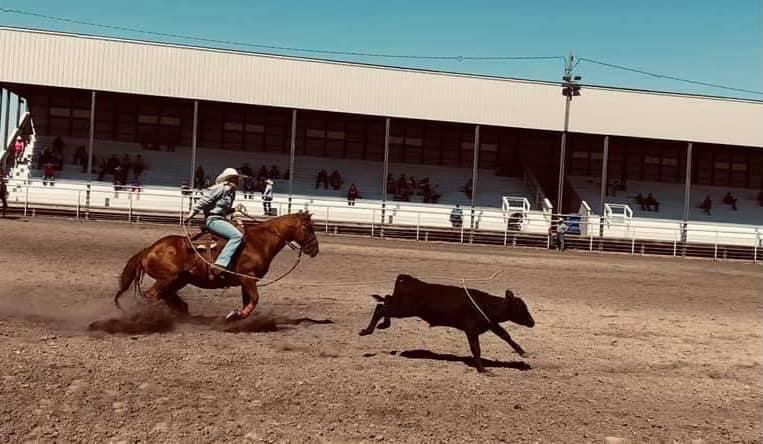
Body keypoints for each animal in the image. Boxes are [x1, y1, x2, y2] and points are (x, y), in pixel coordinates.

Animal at [112, 211, 320, 320]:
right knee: (152, 295)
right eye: (307, 228)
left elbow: (248, 301)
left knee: (168, 298)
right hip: (167, 278)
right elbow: (254, 299)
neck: (259, 241)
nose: (315, 249)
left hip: (179, 280)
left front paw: (237, 314)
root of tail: (149, 249)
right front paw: (234, 314)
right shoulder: (247, 277)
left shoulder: (245, 281)